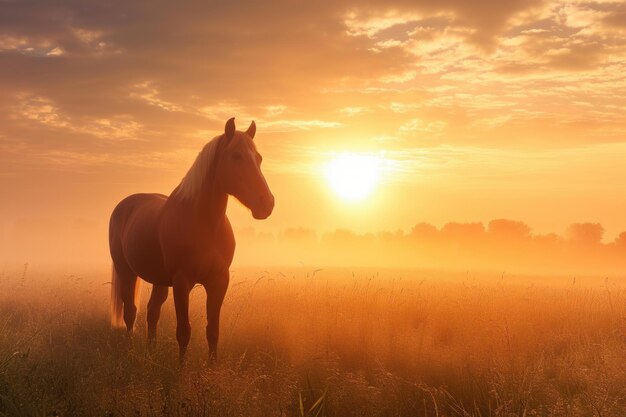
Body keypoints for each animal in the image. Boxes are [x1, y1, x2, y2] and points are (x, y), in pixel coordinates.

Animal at [109, 116, 272, 360]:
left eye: (259, 158)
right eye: (236, 156)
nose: (267, 203)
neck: (204, 225)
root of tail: (125, 204)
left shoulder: (219, 281)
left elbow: (213, 331)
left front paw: (212, 368)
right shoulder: (182, 281)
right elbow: (184, 332)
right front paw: (180, 368)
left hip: (159, 280)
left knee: (152, 312)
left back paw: (151, 353)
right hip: (126, 271)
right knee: (130, 312)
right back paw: (131, 353)